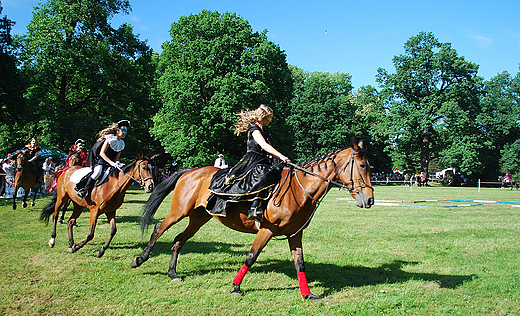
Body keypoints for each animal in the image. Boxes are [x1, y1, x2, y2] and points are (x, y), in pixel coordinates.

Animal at [131, 139, 374, 300]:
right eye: (363, 166)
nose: (370, 199)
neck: (298, 189)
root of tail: (191, 171)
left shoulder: (294, 234)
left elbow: (299, 263)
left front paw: (308, 294)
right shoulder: (267, 230)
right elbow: (251, 256)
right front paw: (236, 287)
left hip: (199, 218)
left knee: (178, 240)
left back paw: (173, 273)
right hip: (178, 212)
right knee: (158, 228)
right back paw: (140, 259)